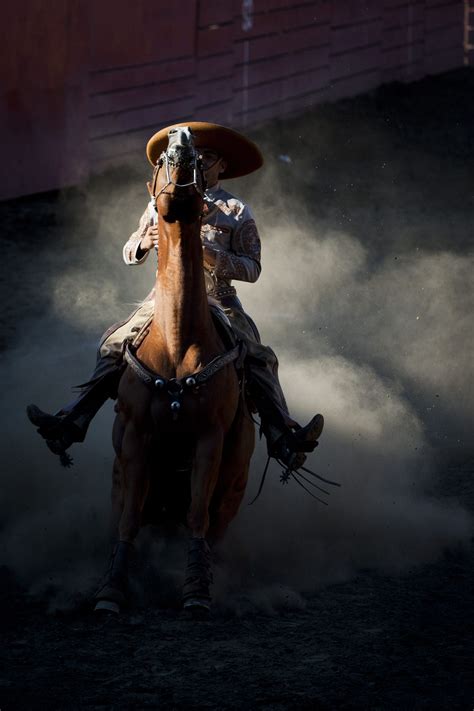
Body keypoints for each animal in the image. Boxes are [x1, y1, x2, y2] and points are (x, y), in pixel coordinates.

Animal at [93, 125, 256, 616]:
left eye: (202, 158)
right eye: (164, 157)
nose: (183, 138)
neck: (177, 342)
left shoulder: (209, 439)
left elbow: (196, 515)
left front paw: (196, 588)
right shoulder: (135, 438)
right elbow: (128, 518)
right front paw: (111, 588)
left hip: (235, 483)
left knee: (213, 524)